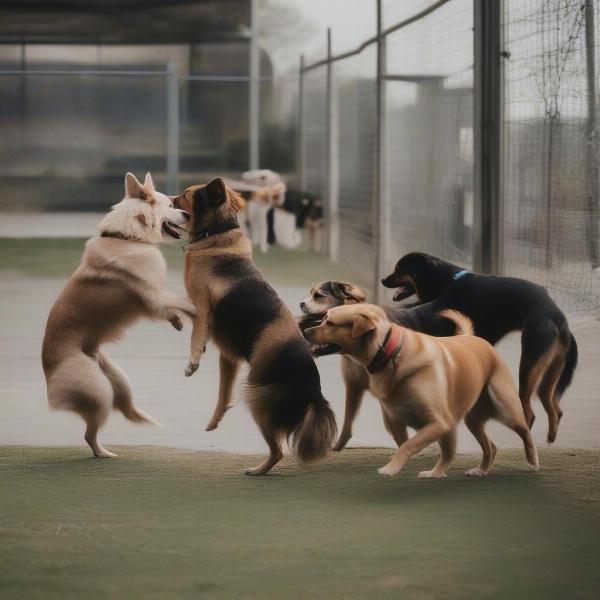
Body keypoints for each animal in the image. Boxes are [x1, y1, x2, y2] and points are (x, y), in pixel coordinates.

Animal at [42, 173, 197, 460]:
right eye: (171, 205)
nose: (188, 214)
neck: (126, 237)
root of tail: (48, 369)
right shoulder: (152, 295)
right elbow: (182, 302)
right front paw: (190, 314)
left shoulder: (155, 298)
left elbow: (174, 308)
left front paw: (178, 321)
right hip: (98, 390)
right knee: (90, 433)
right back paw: (105, 454)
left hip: (118, 380)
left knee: (124, 409)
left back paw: (145, 422)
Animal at [304, 304, 540, 478]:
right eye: (323, 318)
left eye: (329, 322)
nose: (305, 331)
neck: (391, 354)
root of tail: (472, 337)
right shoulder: (396, 421)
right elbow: (406, 444)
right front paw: (401, 466)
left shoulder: (439, 422)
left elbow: (408, 445)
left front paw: (390, 469)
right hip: (471, 419)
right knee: (489, 446)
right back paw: (469, 471)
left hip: (506, 407)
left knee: (525, 432)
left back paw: (532, 462)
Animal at [382, 251, 580, 442]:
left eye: (399, 269)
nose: (383, 280)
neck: (449, 279)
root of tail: (560, 320)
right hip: (549, 372)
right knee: (555, 408)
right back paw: (550, 437)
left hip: (529, 364)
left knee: (530, 412)